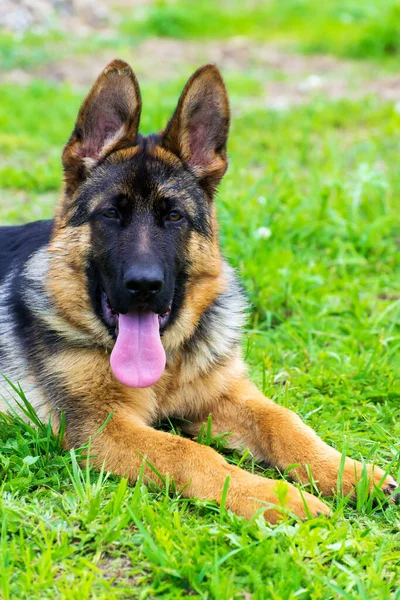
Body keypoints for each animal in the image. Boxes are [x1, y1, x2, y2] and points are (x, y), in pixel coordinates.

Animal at [1, 61, 398, 520]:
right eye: (111, 214)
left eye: (174, 216)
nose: (144, 286)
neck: (168, 365)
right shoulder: (102, 426)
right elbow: (190, 453)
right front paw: (281, 499)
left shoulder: (226, 394)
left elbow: (283, 422)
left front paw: (349, 472)